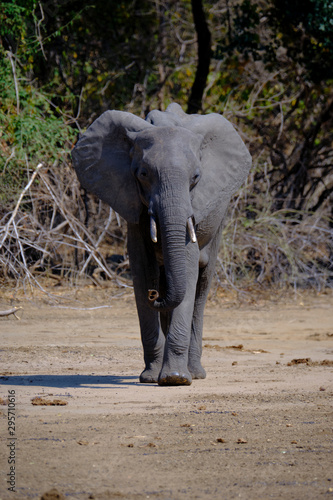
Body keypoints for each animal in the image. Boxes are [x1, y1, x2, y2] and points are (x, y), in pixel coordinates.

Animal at [71, 102, 250, 386]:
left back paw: (195, 373)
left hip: (220, 216)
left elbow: (187, 267)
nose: (154, 296)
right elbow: (143, 270)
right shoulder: (131, 203)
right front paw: (151, 376)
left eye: (196, 177)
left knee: (202, 285)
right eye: (143, 174)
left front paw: (175, 379)